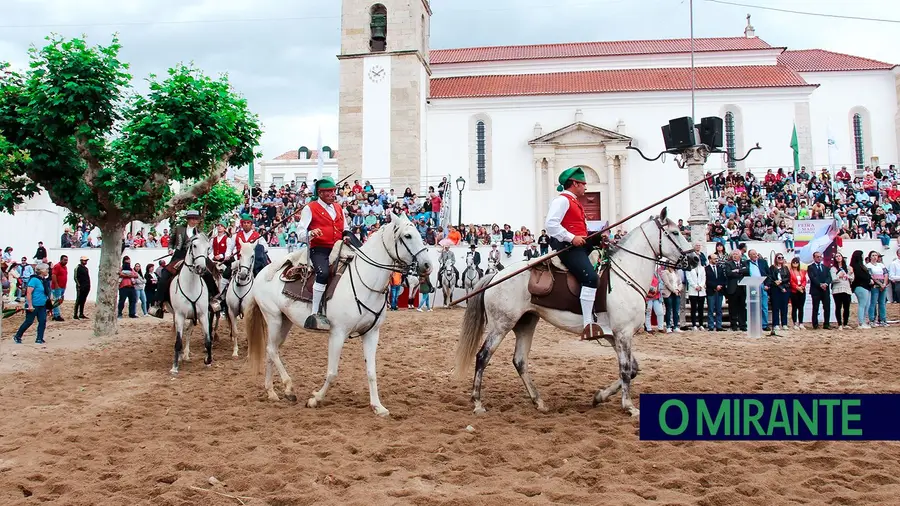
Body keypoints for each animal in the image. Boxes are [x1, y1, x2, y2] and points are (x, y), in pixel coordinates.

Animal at [167, 231, 214, 374]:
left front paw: (208, 361)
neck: (191, 286)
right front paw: (174, 367)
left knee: (188, 332)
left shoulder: (203, 315)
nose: (201, 268)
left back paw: (186, 354)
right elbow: (178, 341)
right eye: (194, 245)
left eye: (208, 248)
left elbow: (207, 340)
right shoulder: (180, 316)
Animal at [244, 211, 430, 418]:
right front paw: (315, 399)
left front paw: (377, 406)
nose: (427, 264)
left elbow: (371, 372)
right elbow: (332, 372)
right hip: (273, 318)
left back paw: (272, 392)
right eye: (408, 236)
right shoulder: (338, 333)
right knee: (271, 350)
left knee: (272, 350)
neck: (365, 280)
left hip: (285, 322)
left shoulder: (371, 334)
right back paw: (289, 387)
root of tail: (261, 273)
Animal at [454, 208, 700, 418]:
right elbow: (625, 369)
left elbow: (633, 369)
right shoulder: (623, 333)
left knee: (520, 360)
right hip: (501, 324)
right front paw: (629, 406)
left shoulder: (613, 335)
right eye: (675, 232)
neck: (626, 274)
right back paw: (478, 402)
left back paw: (538, 401)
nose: (696, 258)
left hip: (526, 322)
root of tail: (496, 275)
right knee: (483, 356)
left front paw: (599, 396)